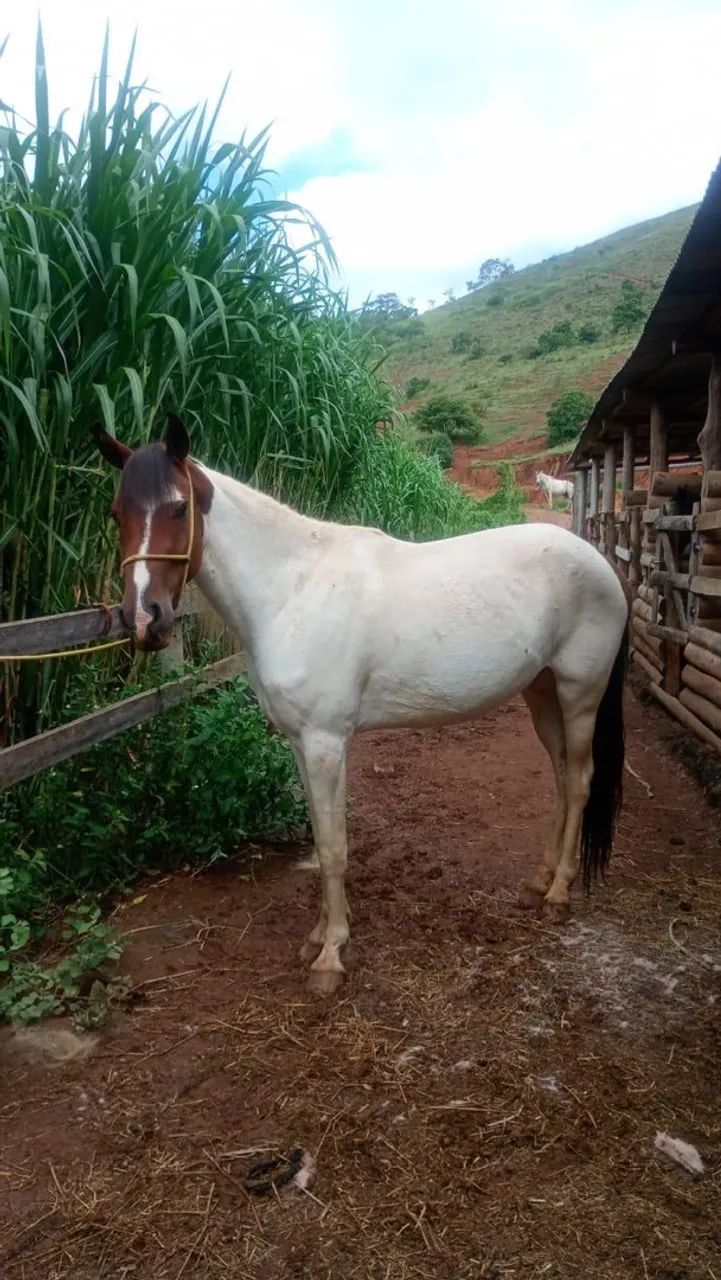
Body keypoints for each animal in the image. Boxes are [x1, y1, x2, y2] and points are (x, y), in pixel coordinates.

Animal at [93, 415, 628, 995]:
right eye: (117, 513)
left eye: (178, 509)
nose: (143, 620)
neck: (291, 589)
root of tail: (603, 565)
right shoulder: (301, 743)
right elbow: (319, 833)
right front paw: (320, 935)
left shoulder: (327, 742)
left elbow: (332, 848)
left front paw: (330, 956)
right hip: (542, 693)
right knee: (561, 775)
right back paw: (539, 882)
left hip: (580, 693)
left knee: (580, 780)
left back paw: (559, 894)